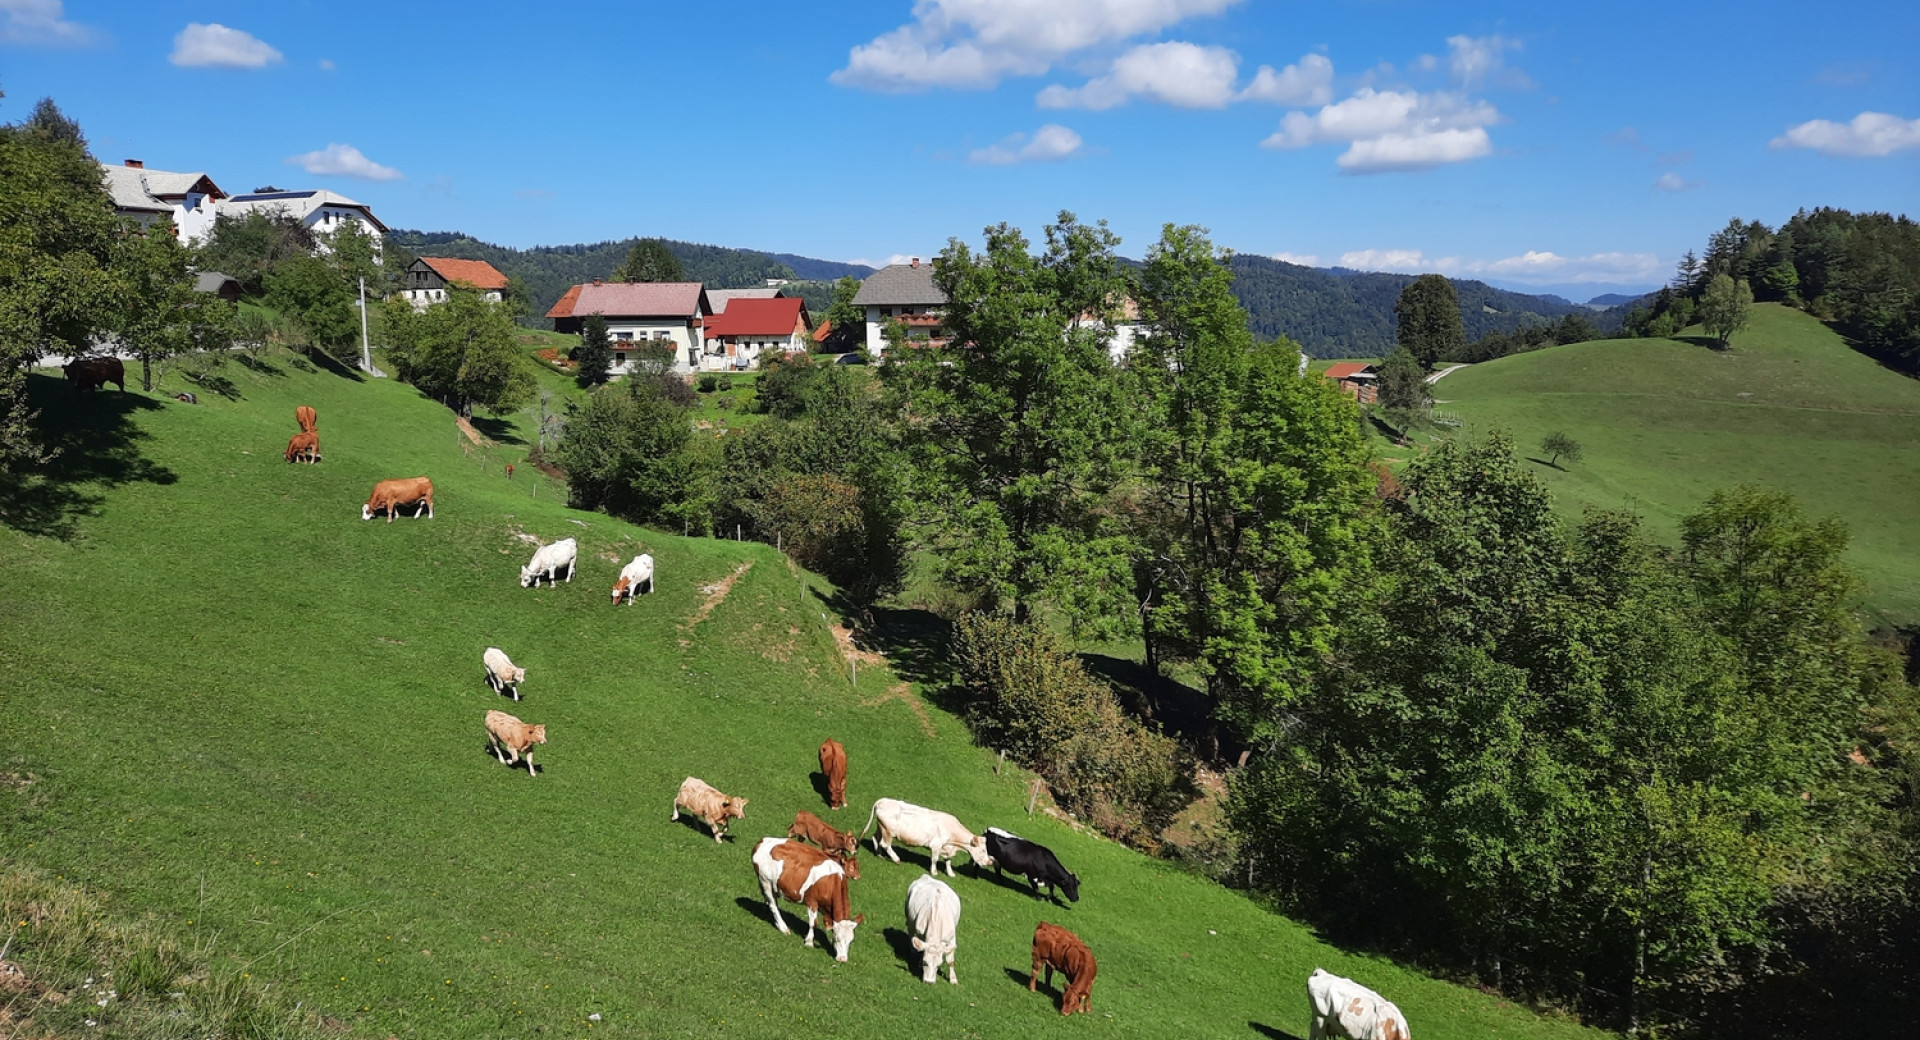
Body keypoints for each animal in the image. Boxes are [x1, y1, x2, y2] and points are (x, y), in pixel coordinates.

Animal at [752, 836, 867, 967]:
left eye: (851, 941)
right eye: (837, 938)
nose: (843, 959)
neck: (831, 882)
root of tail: (763, 840)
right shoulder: (811, 901)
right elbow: (814, 923)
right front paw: (809, 942)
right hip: (765, 880)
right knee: (773, 905)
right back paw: (783, 927)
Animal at [864, 798, 998, 882]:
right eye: (982, 850)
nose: (989, 862)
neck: (954, 843)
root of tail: (884, 800)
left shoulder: (947, 848)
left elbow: (948, 861)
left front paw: (950, 873)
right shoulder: (936, 845)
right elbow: (934, 859)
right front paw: (934, 872)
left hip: (881, 827)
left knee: (875, 838)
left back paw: (879, 854)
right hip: (888, 831)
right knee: (885, 844)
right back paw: (896, 859)